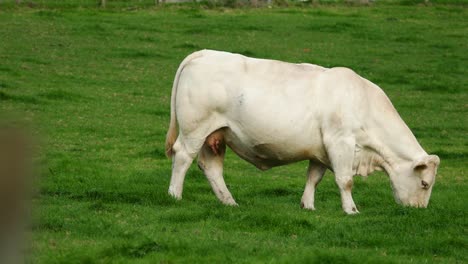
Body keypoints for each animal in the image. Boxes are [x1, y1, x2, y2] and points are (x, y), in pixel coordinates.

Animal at [166, 50, 440, 214]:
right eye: (425, 183)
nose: (418, 210)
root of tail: (204, 53)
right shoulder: (340, 142)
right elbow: (345, 180)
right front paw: (351, 210)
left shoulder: (321, 150)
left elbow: (313, 178)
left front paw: (308, 206)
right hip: (194, 130)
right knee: (182, 157)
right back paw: (174, 195)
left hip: (216, 135)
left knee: (211, 168)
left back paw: (229, 202)